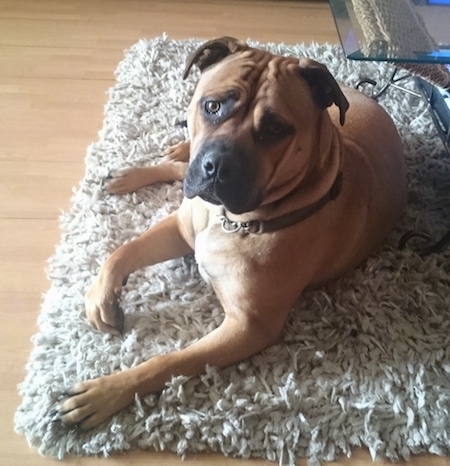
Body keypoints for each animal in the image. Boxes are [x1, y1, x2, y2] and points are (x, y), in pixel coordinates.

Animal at [58, 38, 406, 428]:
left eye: (275, 129)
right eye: (212, 106)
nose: (217, 166)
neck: (234, 220)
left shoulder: (248, 328)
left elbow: (170, 361)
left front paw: (106, 391)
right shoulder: (183, 227)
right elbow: (124, 250)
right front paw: (100, 297)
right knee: (179, 167)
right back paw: (141, 169)